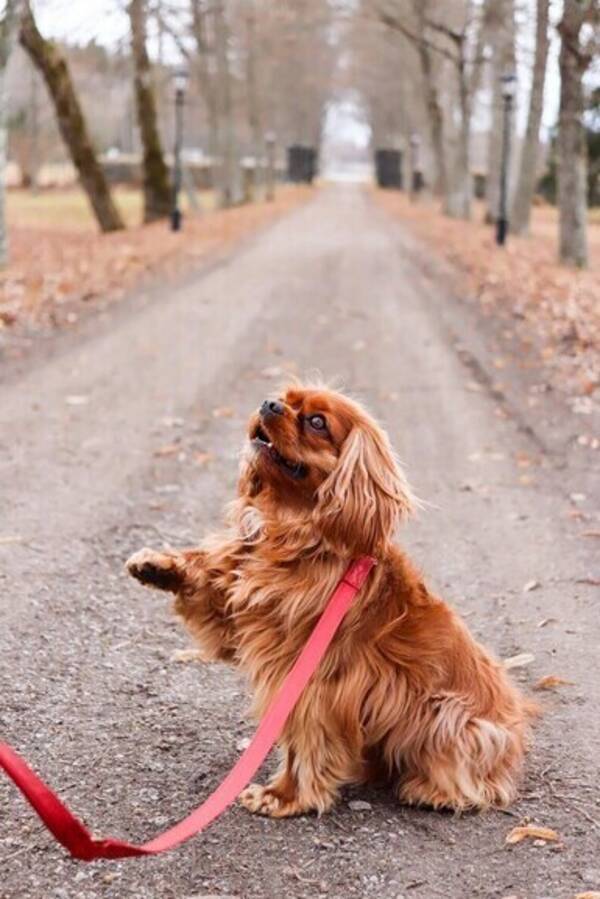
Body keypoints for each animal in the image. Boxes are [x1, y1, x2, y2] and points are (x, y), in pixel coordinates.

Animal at [127, 384, 536, 820]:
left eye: (317, 422)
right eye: (283, 397)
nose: (269, 404)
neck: (289, 532)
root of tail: (515, 727)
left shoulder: (310, 680)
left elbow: (303, 741)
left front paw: (284, 795)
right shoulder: (237, 613)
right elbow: (209, 578)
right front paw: (158, 565)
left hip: (451, 718)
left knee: (479, 780)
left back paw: (434, 791)